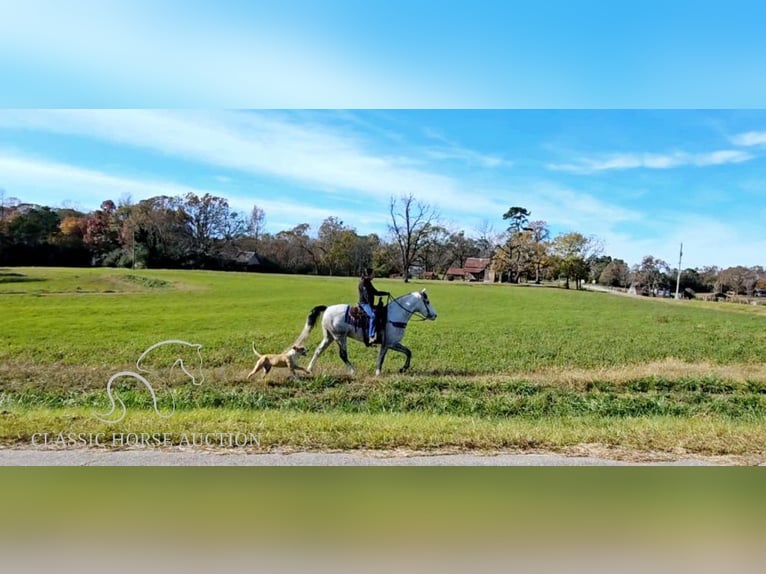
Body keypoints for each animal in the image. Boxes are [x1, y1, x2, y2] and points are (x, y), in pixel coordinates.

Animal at [294, 288, 438, 378]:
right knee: (343, 355)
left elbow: (408, 352)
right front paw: (378, 373)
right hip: (340, 336)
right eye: (427, 301)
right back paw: (353, 371)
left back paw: (309, 369)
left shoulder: (393, 343)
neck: (395, 315)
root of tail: (327, 308)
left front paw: (403, 368)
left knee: (318, 351)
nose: (435, 315)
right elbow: (381, 357)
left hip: (329, 337)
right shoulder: (388, 343)